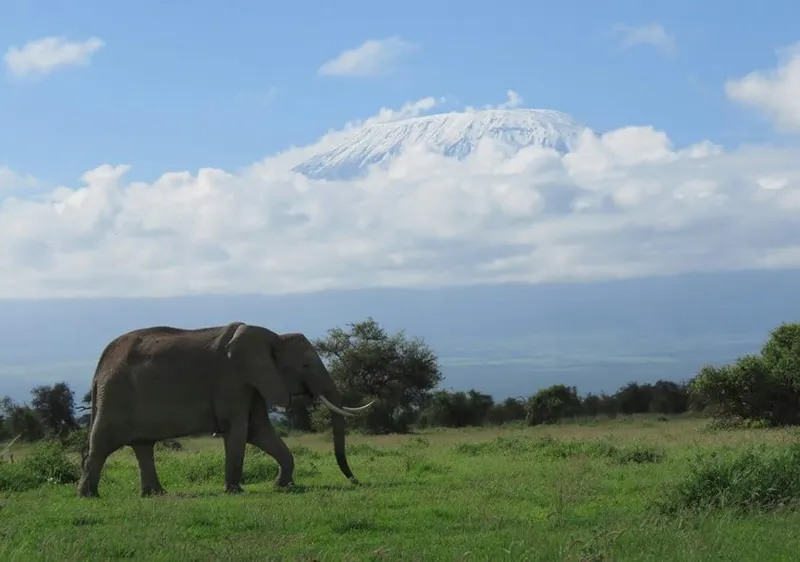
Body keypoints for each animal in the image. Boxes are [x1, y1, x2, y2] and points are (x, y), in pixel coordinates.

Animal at [76, 321, 374, 498]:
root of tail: (99, 367)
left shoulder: (252, 383)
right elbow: (239, 429)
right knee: (102, 444)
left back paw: (156, 494)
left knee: (142, 445)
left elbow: (258, 431)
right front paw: (235, 491)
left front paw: (281, 485)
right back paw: (88, 496)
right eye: (305, 366)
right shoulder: (232, 379)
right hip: (115, 394)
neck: (272, 338)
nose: (356, 481)